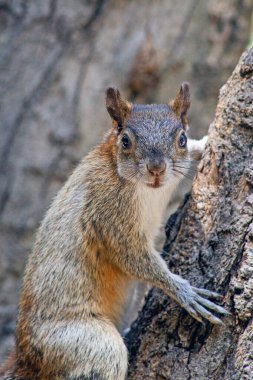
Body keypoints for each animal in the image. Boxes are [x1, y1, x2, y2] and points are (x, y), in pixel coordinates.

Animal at [0, 83, 229, 380]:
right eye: (125, 141)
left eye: (181, 138)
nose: (157, 169)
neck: (147, 189)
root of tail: (26, 359)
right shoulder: (107, 212)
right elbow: (131, 255)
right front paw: (185, 292)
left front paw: (205, 141)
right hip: (84, 345)